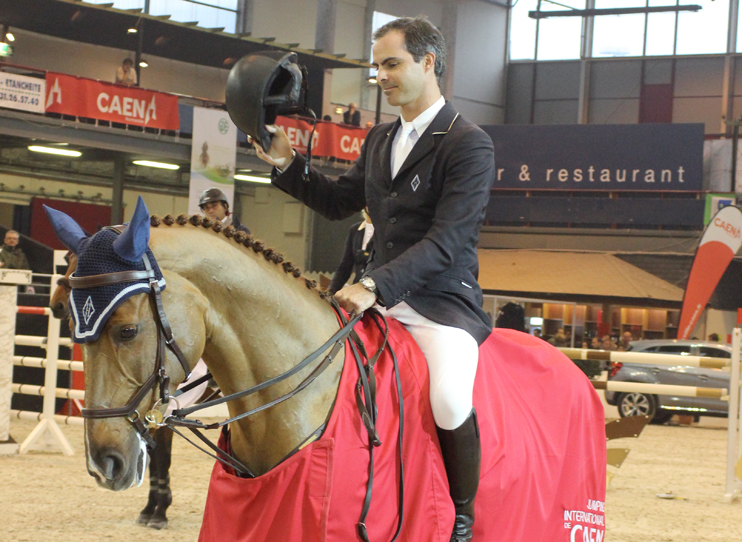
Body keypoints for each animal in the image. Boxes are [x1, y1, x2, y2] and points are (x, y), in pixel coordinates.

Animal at [43, 200, 608, 542]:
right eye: (67, 321)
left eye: (127, 331)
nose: (104, 464)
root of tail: (574, 369)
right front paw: (153, 508)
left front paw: (155, 509)